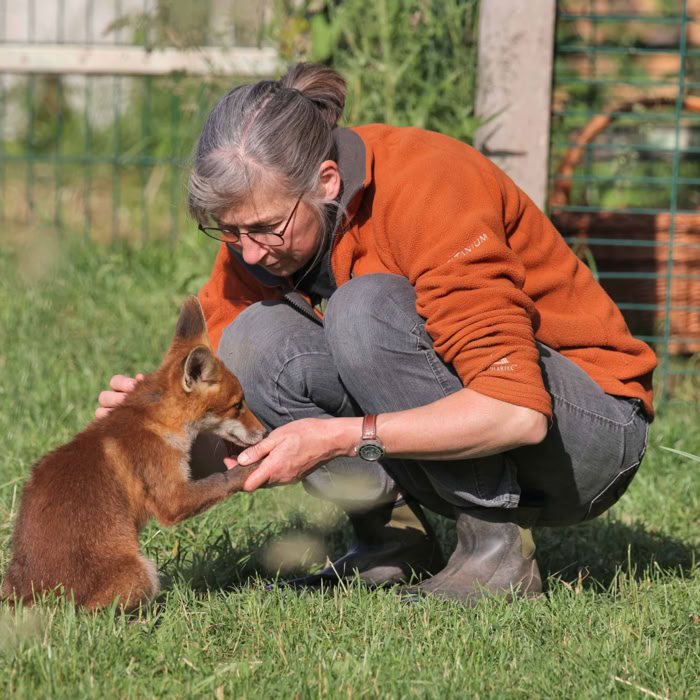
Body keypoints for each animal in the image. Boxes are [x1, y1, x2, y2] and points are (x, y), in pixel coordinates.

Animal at [1, 295, 264, 612]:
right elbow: (222, 480)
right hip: (142, 572)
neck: (155, 422)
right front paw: (253, 467)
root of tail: (30, 597)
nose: (264, 432)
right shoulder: (172, 499)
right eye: (238, 405)